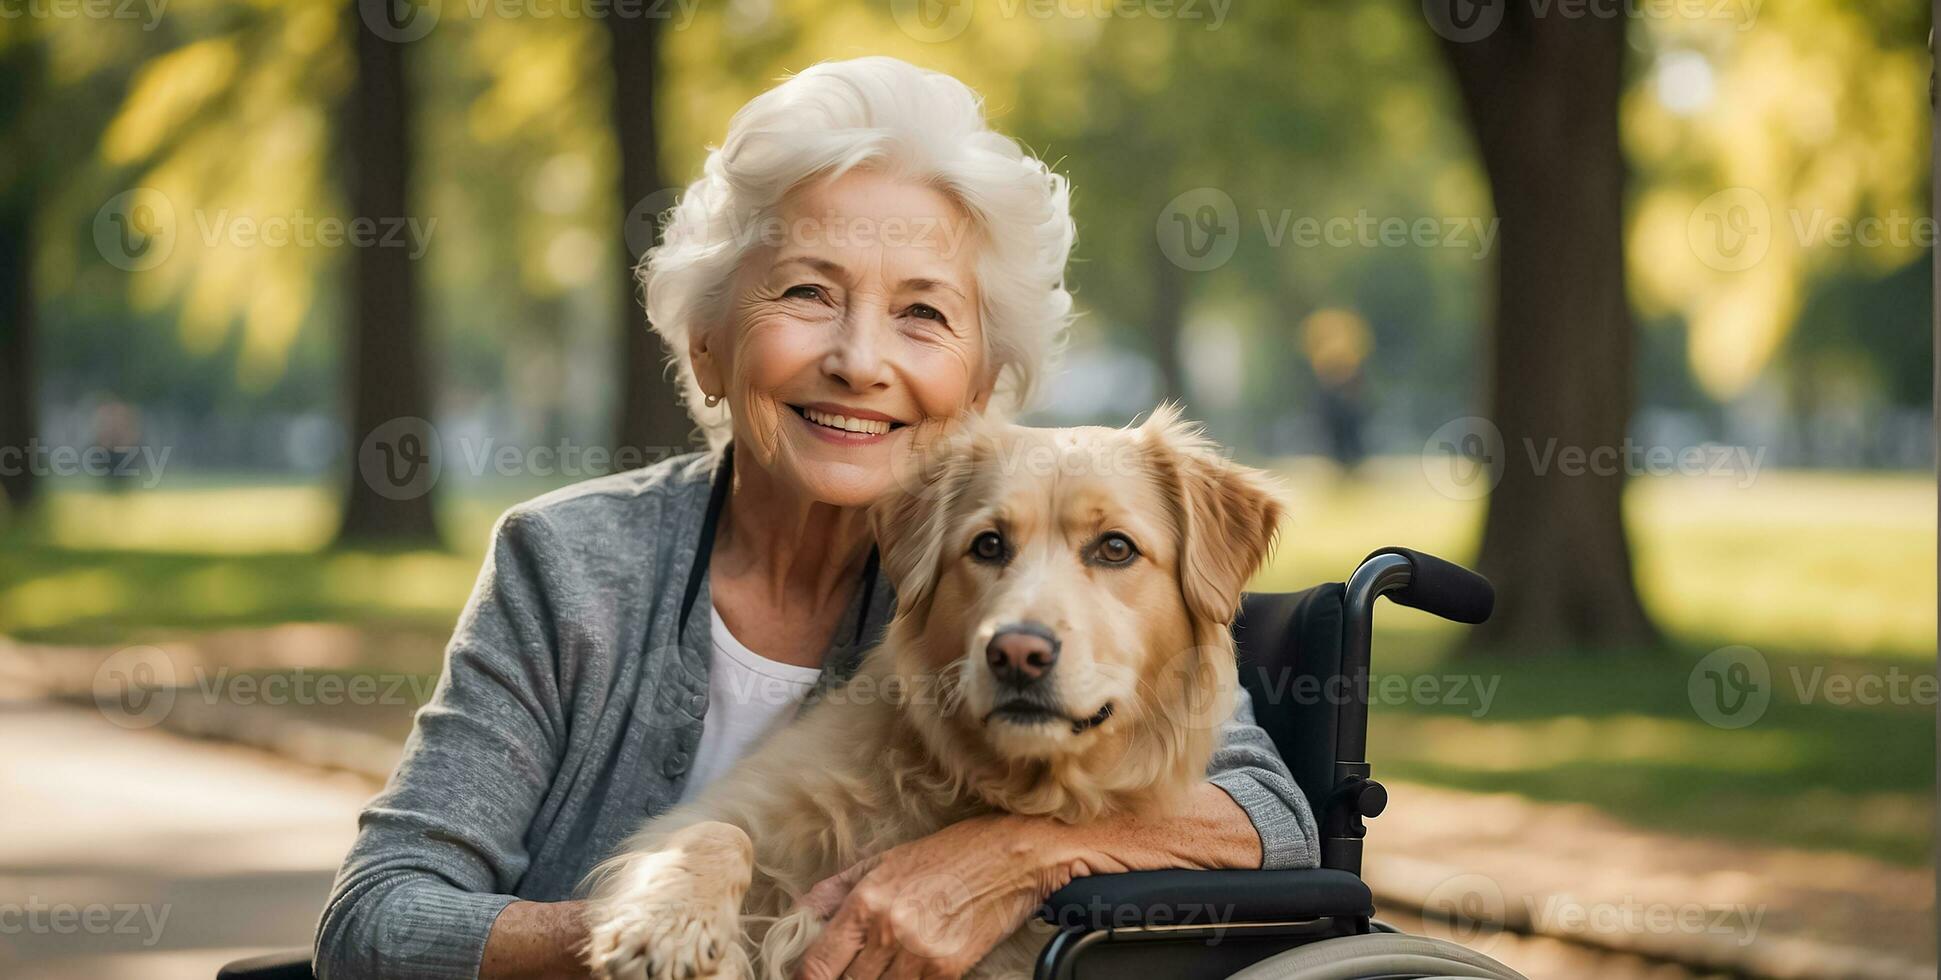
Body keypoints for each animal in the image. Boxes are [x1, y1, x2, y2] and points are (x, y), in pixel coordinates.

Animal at [590, 409, 1288, 978]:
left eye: (1116, 548)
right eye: (989, 545)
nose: (1017, 654)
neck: (981, 779)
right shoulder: (715, 815)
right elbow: (711, 833)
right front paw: (671, 928)